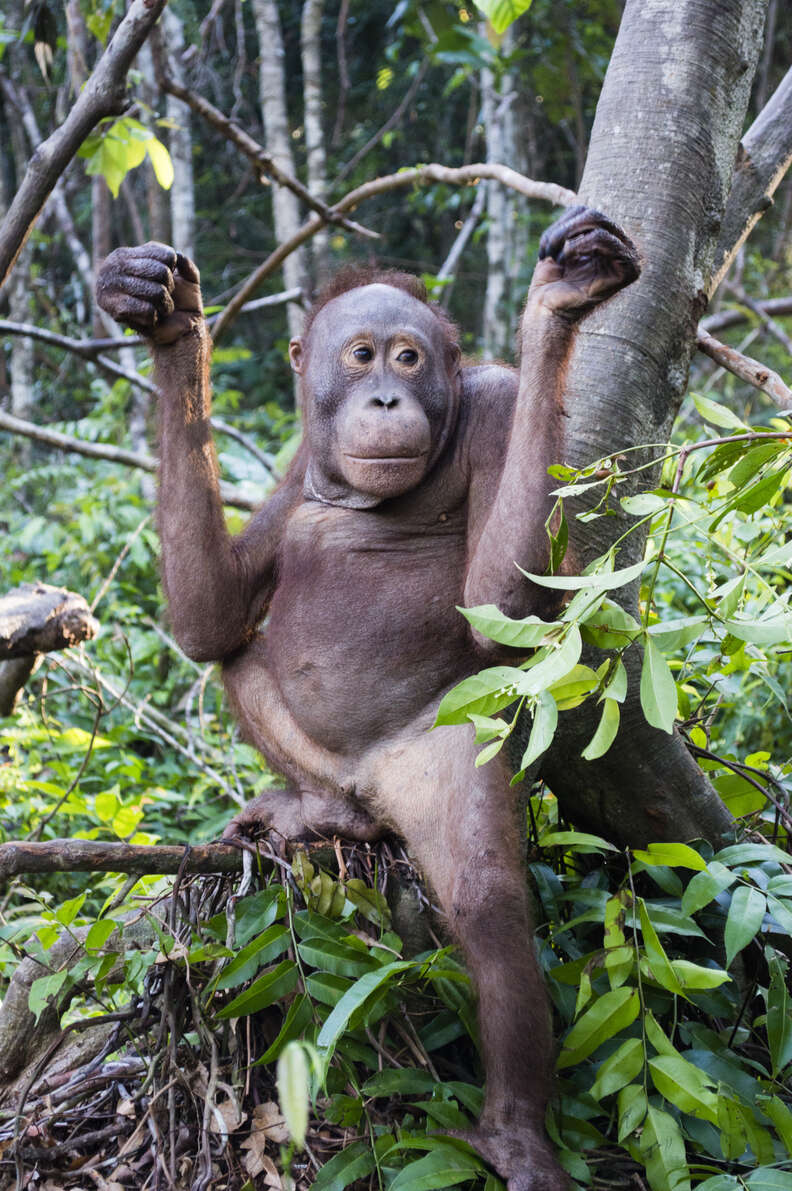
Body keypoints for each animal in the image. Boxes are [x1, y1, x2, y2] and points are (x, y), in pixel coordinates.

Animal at [97, 205, 640, 1190]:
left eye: (408, 358)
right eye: (359, 357)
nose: (385, 399)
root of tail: (371, 797)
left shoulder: (498, 405)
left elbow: (506, 610)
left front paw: (560, 305)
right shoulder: (288, 478)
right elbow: (212, 620)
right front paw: (168, 321)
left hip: (450, 747)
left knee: (486, 899)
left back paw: (515, 1137)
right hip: (336, 772)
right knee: (241, 659)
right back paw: (312, 809)